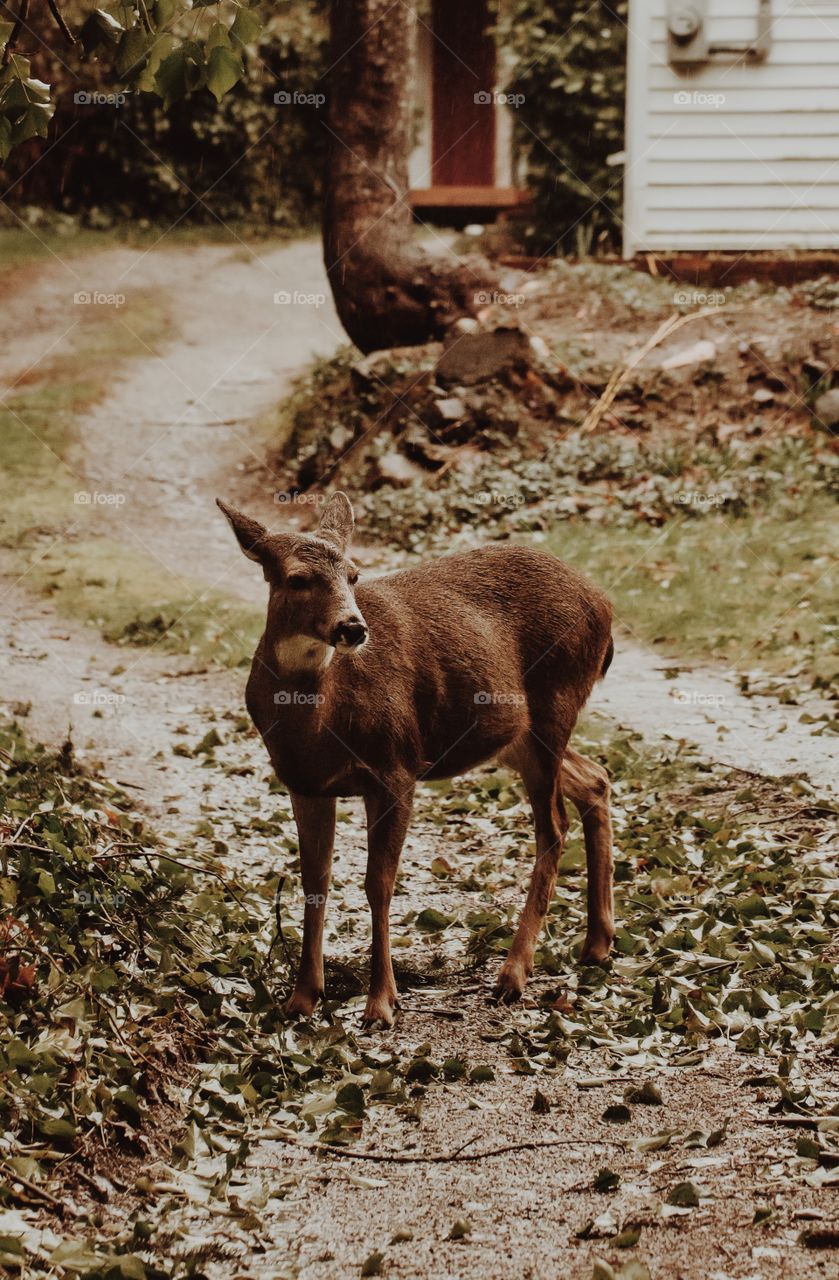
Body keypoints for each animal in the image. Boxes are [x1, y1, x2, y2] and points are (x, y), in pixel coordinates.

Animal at [218, 493, 615, 1027]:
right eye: (297, 578)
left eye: (354, 574)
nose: (353, 627)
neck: (319, 720)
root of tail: (605, 604)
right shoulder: (303, 782)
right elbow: (314, 881)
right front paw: (301, 999)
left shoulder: (397, 767)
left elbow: (378, 884)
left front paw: (381, 1003)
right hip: (515, 736)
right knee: (596, 778)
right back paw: (596, 944)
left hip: (557, 700)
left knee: (553, 825)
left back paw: (513, 974)